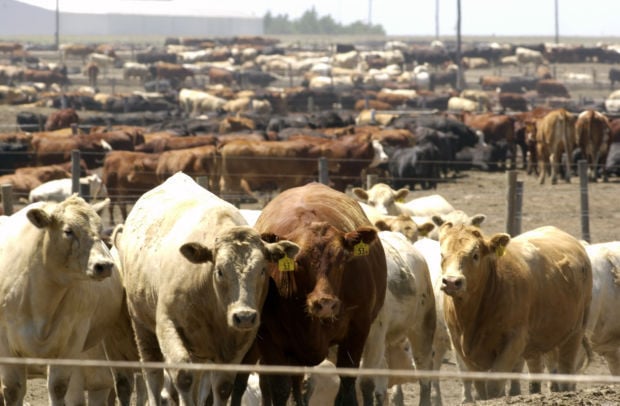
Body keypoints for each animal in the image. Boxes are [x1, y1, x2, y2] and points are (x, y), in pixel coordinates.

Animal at [0, 195, 122, 404]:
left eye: (99, 229)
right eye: (68, 231)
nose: (104, 265)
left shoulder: (72, 341)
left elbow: (58, 387)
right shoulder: (6, 345)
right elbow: (12, 390)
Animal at [117, 172, 302, 406]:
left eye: (262, 269)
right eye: (220, 271)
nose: (244, 316)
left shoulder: (238, 342)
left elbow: (222, 387)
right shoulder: (167, 325)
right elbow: (183, 377)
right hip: (141, 325)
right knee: (153, 375)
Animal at [248, 183, 386, 406]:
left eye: (342, 258)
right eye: (298, 260)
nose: (325, 303)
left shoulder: (357, 331)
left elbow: (347, 389)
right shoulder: (269, 338)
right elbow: (279, 388)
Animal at [438, 225, 592, 400]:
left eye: (475, 255)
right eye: (442, 255)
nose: (451, 282)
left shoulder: (515, 340)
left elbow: (494, 386)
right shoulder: (460, 345)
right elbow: (481, 388)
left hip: (576, 331)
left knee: (566, 369)